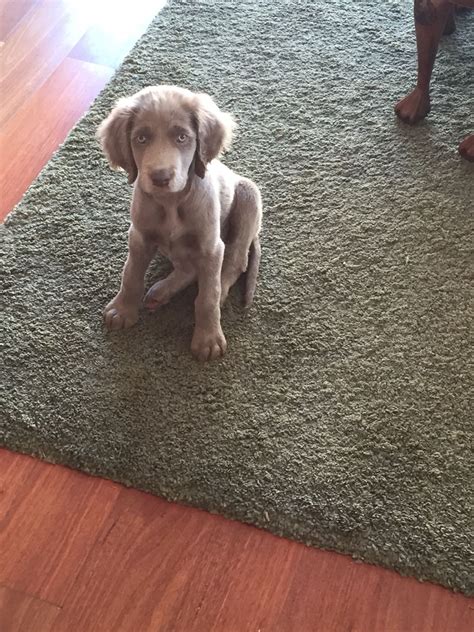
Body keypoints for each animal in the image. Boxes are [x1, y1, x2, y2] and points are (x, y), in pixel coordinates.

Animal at [96, 86, 262, 360]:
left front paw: (208, 339)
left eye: (182, 137)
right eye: (141, 138)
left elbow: (207, 296)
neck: (171, 202)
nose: (160, 177)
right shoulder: (139, 236)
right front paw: (122, 309)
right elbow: (130, 274)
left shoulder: (210, 246)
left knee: (234, 262)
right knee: (188, 268)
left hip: (249, 197)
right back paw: (161, 292)